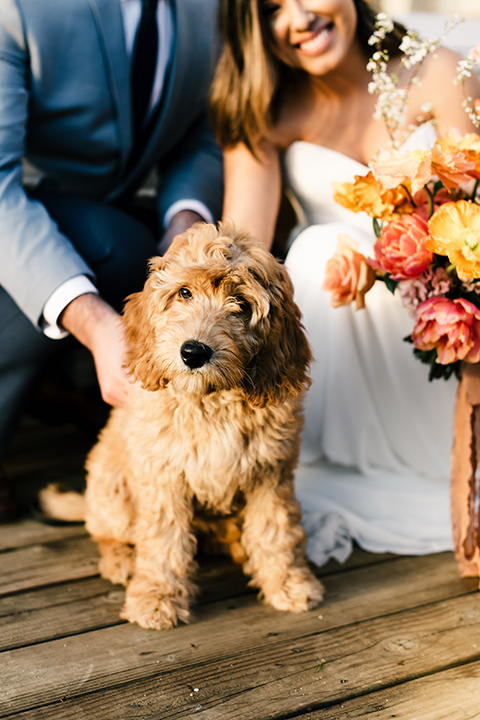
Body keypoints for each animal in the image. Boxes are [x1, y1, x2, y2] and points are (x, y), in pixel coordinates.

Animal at [46, 222, 322, 628]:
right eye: (184, 293)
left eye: (241, 304)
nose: (193, 352)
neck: (212, 400)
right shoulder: (164, 475)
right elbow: (163, 541)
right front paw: (156, 598)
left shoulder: (270, 473)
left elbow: (276, 531)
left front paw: (289, 583)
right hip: (110, 486)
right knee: (108, 533)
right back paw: (122, 561)